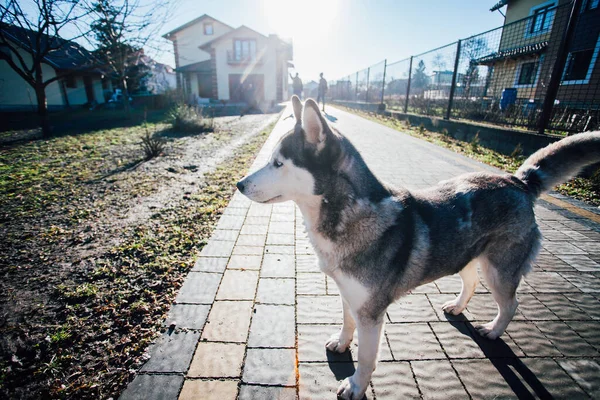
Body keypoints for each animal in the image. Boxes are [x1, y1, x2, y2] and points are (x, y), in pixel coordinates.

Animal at [237, 97, 596, 400]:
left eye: (278, 163)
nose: (240, 184)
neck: (349, 213)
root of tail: (517, 180)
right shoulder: (349, 294)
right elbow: (347, 323)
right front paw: (341, 343)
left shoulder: (371, 312)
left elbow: (366, 357)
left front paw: (356, 386)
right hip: (465, 257)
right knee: (471, 283)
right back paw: (458, 307)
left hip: (499, 270)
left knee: (511, 304)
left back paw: (493, 331)